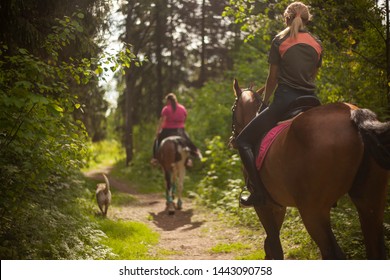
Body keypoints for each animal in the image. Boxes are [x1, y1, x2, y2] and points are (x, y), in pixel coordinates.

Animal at [232, 77, 390, 260]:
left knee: (332, 253)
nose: (232, 140)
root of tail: (353, 114)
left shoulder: (264, 205)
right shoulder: (278, 206)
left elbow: (275, 246)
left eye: (233, 109)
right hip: (370, 201)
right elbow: (270, 244)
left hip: (313, 211)